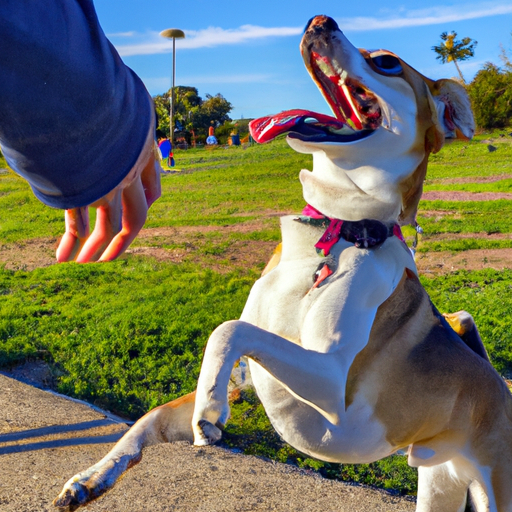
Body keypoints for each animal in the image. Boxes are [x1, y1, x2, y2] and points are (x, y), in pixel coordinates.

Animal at [54, 15, 510, 512]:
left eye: (387, 62)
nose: (319, 21)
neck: (336, 231)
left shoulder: (332, 387)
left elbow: (229, 329)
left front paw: (209, 409)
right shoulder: (246, 379)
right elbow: (152, 415)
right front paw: (93, 475)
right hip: (440, 482)